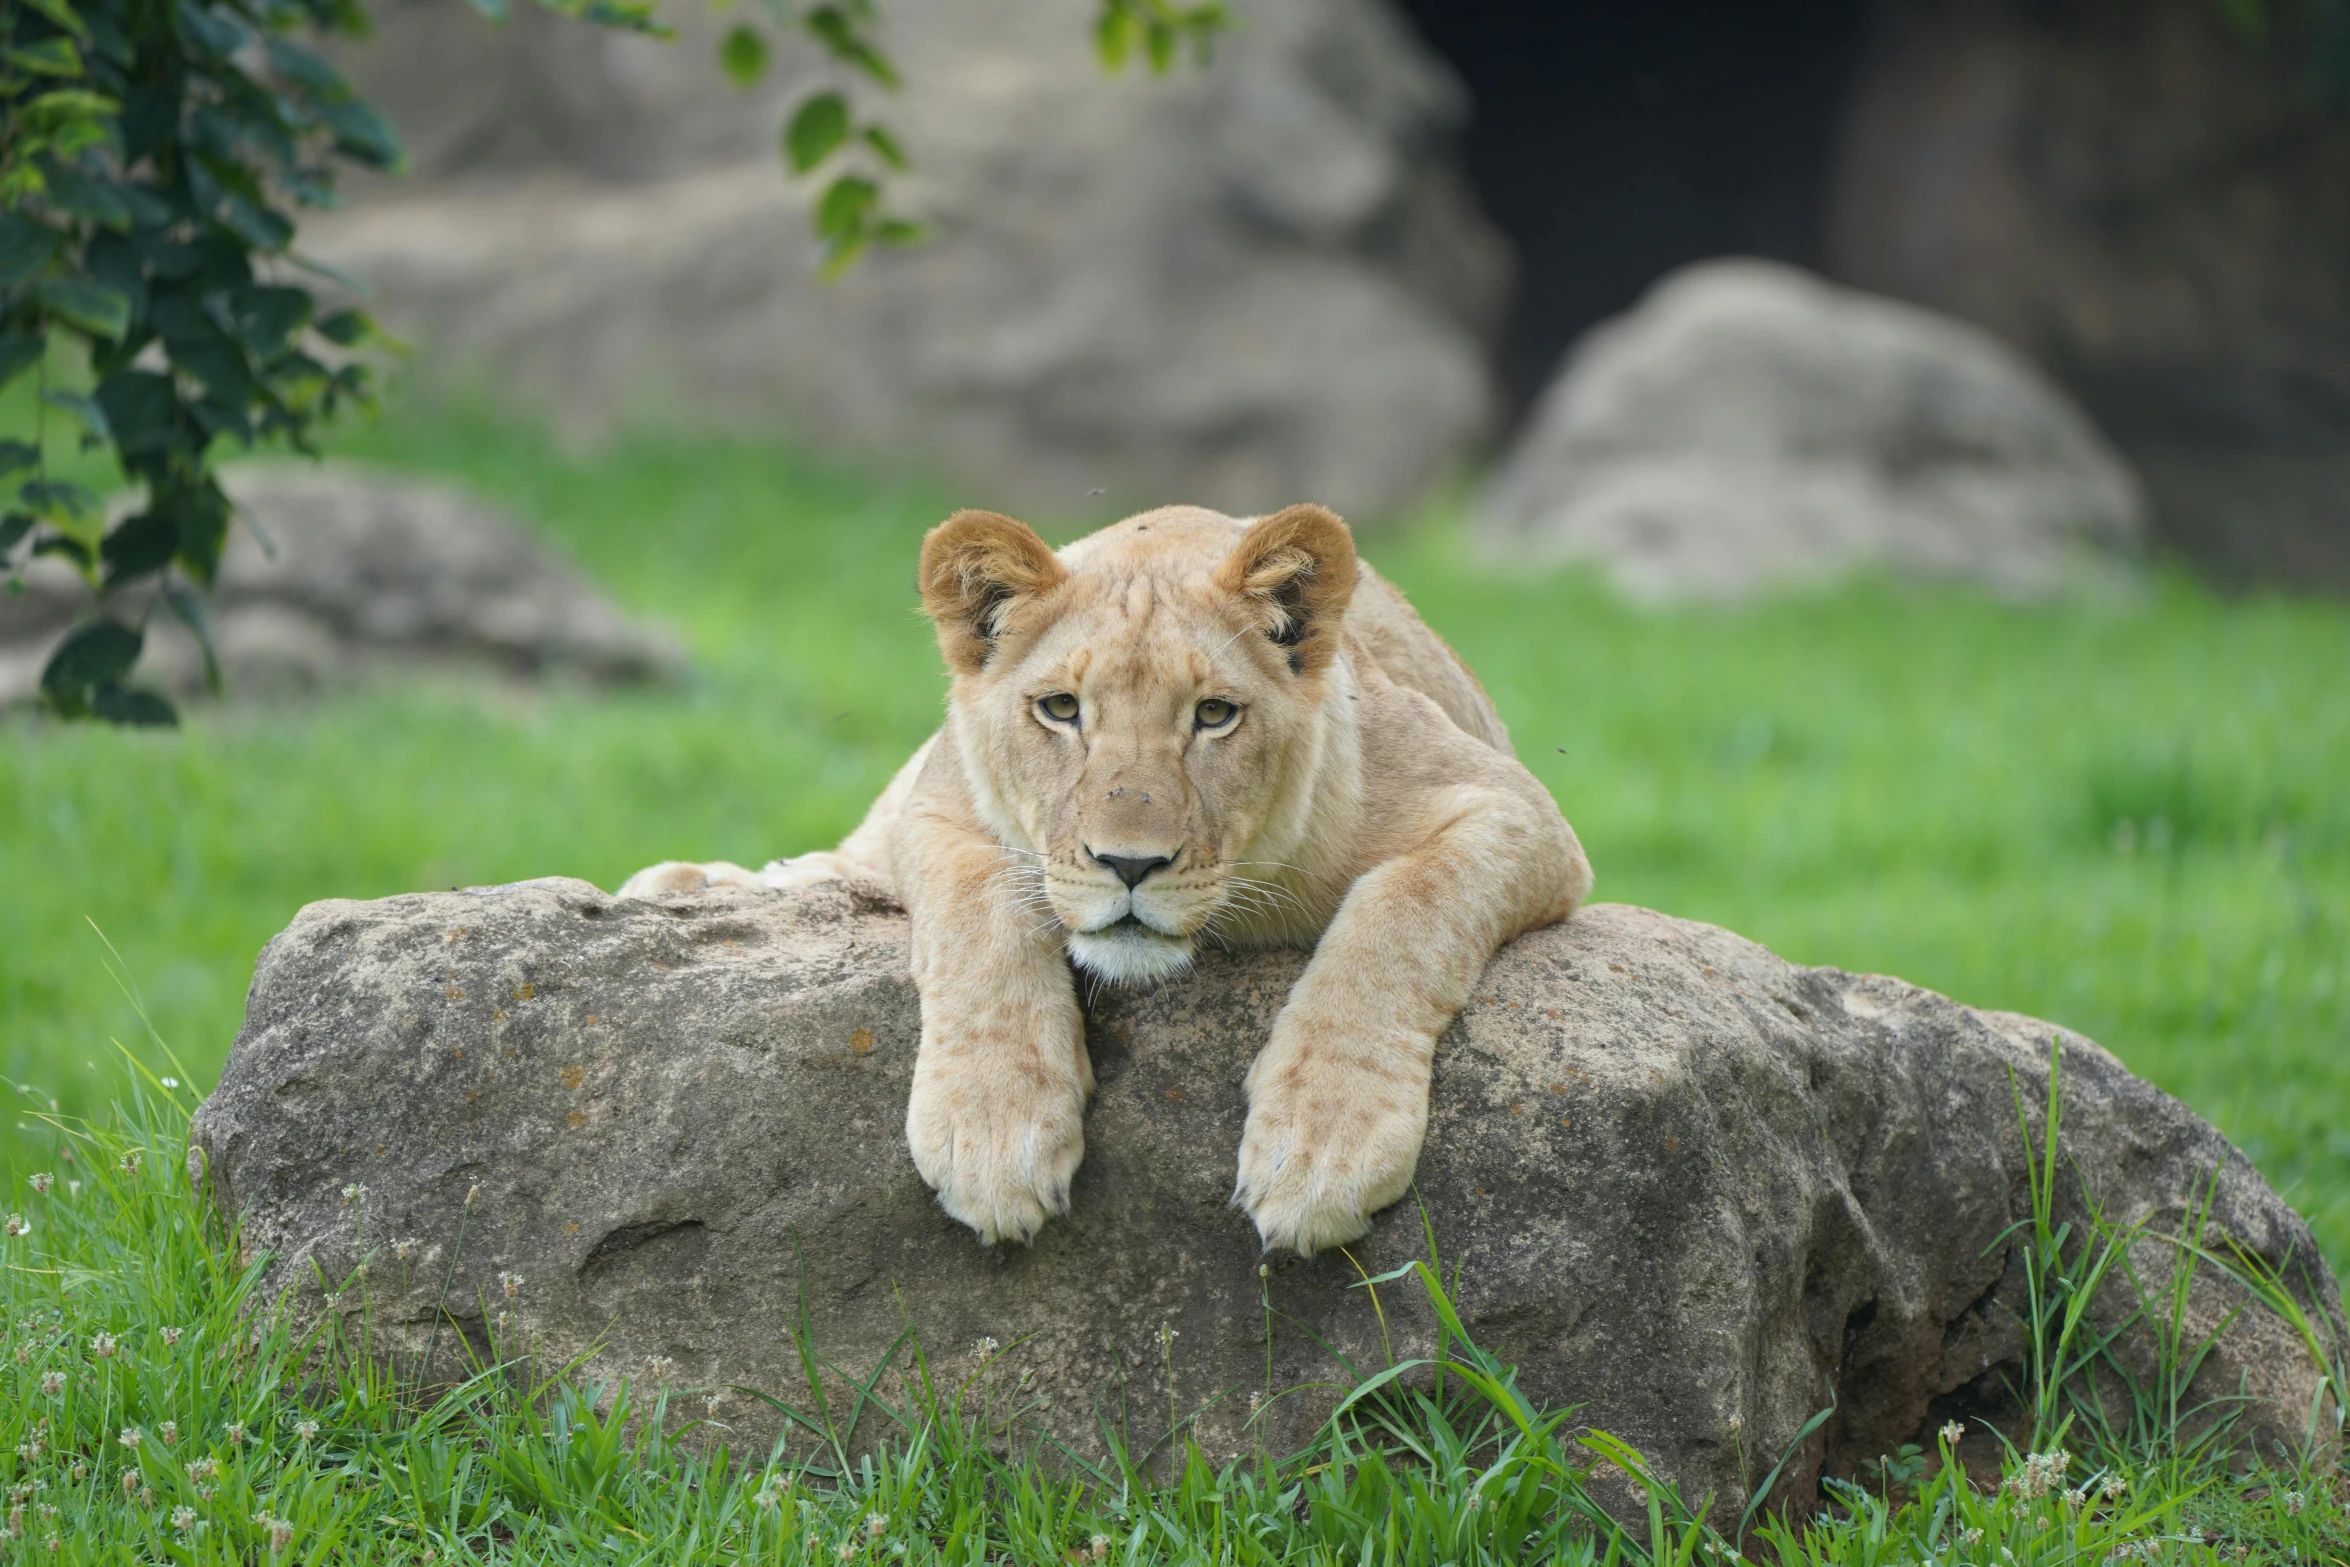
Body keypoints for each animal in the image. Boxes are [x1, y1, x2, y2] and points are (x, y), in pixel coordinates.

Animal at [620, 509, 1597, 1259]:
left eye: (1214, 715)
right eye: (1060, 708)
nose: (1130, 864)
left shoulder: (1515, 808)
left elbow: (1399, 918)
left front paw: (1325, 1144)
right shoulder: (938, 806)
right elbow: (979, 916)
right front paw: (993, 1131)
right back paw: (685, 884)